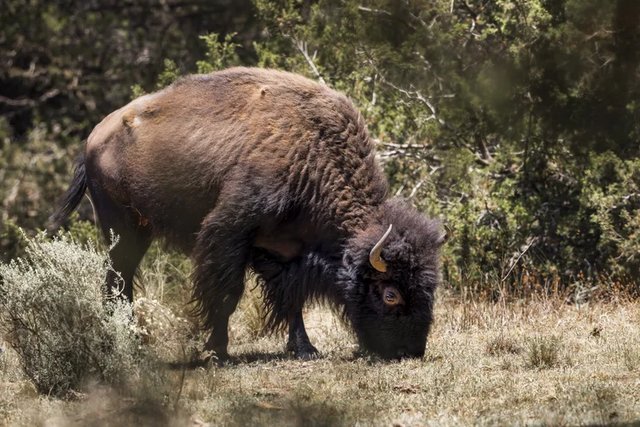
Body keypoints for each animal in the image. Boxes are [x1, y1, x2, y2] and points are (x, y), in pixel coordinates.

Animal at [52, 67, 444, 360]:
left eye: (430, 288)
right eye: (390, 294)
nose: (411, 350)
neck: (310, 153)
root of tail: (93, 138)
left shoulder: (283, 250)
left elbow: (292, 300)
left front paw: (305, 349)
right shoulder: (230, 233)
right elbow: (228, 293)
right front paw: (217, 352)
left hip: (138, 231)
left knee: (119, 280)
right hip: (122, 228)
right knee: (117, 279)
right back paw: (128, 343)